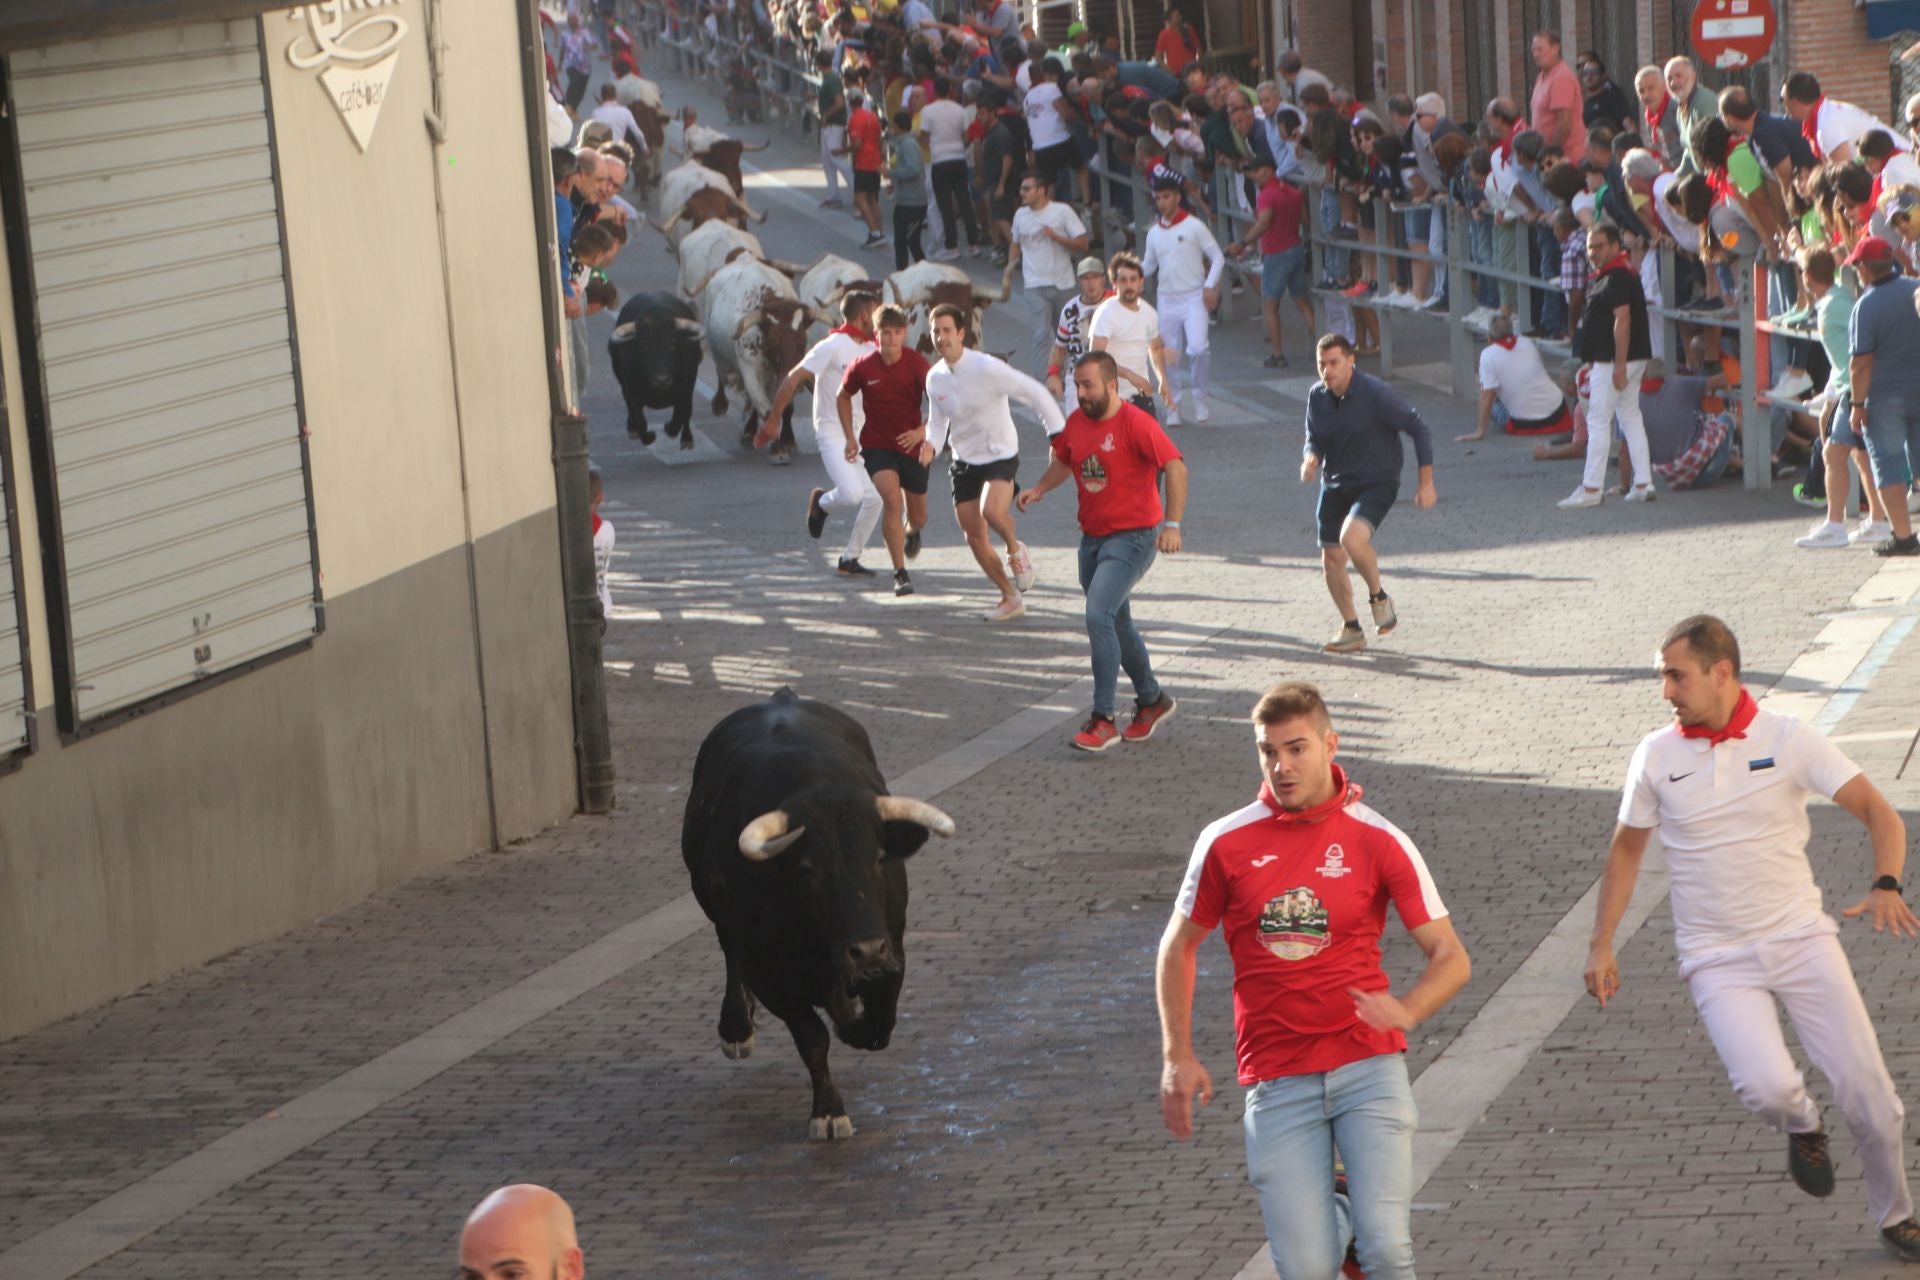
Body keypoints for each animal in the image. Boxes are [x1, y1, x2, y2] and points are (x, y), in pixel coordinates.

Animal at [606, 293, 706, 449]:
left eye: (673, 342)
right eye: (643, 345)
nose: (662, 380)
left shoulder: (687, 387)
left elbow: (683, 413)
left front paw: (671, 429)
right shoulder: (630, 391)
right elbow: (639, 418)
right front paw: (649, 436)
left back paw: (687, 439)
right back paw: (632, 429)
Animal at [683, 690, 952, 1143]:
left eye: (880, 859)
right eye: (807, 869)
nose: (866, 950)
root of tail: (782, 696)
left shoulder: (893, 949)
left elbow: (879, 1023)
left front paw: (853, 1023)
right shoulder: (772, 977)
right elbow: (813, 1038)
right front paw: (828, 1112)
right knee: (729, 951)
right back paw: (737, 1028)